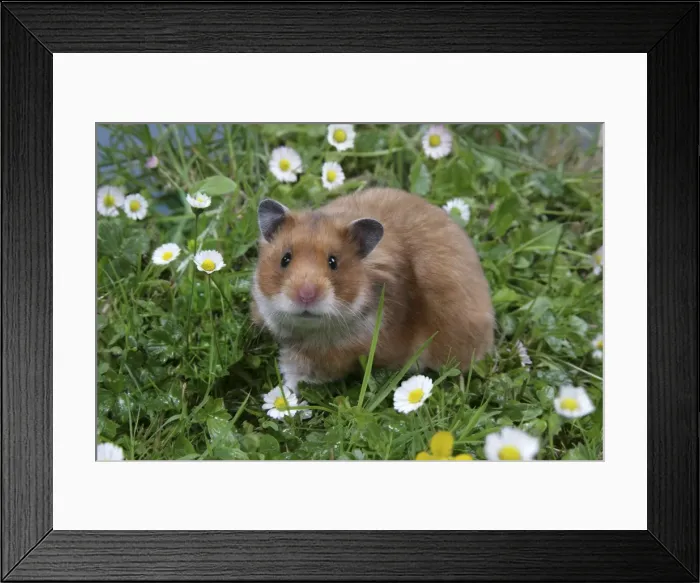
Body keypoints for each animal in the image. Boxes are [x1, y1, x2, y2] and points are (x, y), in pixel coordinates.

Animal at [251, 187, 495, 395]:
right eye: (285, 259)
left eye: (333, 262)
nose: (306, 295)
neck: (309, 329)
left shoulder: (336, 356)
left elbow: (299, 373)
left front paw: (287, 395)